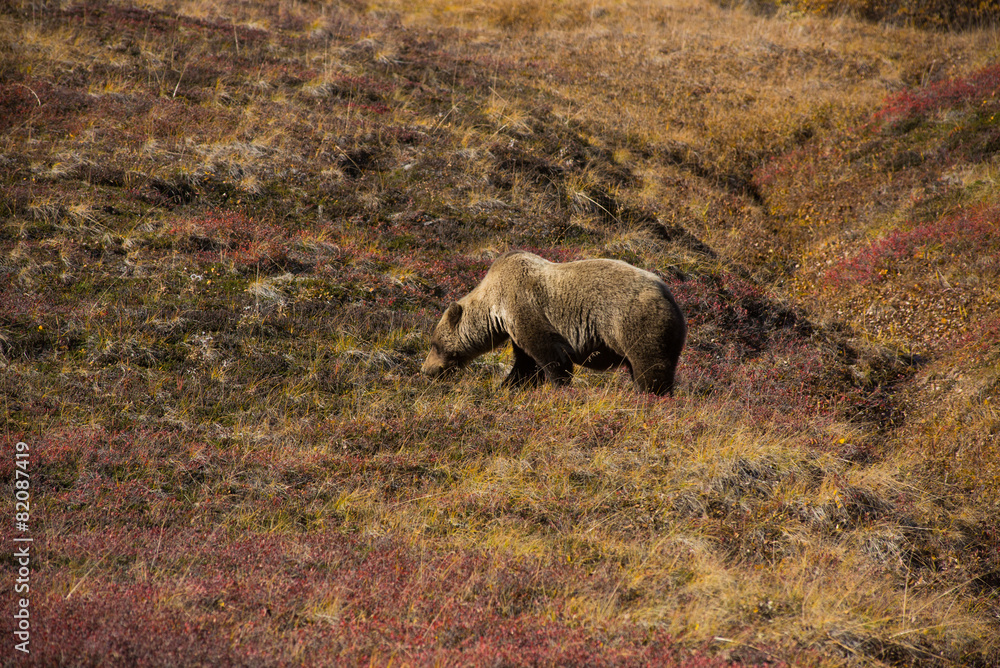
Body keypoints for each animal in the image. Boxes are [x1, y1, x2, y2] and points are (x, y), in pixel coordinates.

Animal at [420, 250, 686, 395]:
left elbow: (551, 358)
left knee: (651, 371)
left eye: (434, 344)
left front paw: (561, 387)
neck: (496, 309)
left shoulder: (526, 310)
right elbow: (526, 366)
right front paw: (507, 387)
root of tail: (671, 297)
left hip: (637, 325)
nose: (426, 370)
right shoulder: (517, 332)